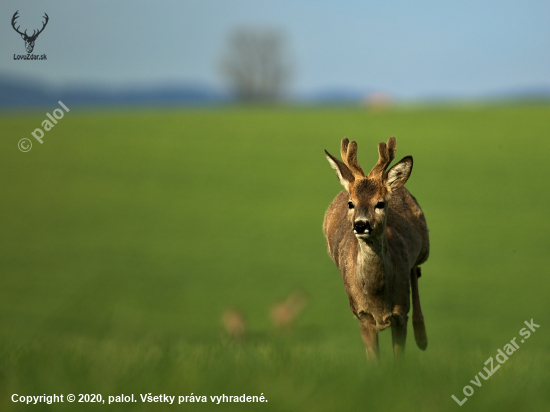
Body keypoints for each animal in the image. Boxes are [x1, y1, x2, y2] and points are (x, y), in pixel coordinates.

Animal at [324, 138, 432, 360]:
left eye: (380, 203)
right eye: (351, 203)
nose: (360, 225)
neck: (377, 296)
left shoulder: (400, 313)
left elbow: (399, 358)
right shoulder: (361, 314)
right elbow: (374, 359)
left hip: (425, 247)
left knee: (415, 270)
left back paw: (422, 336)